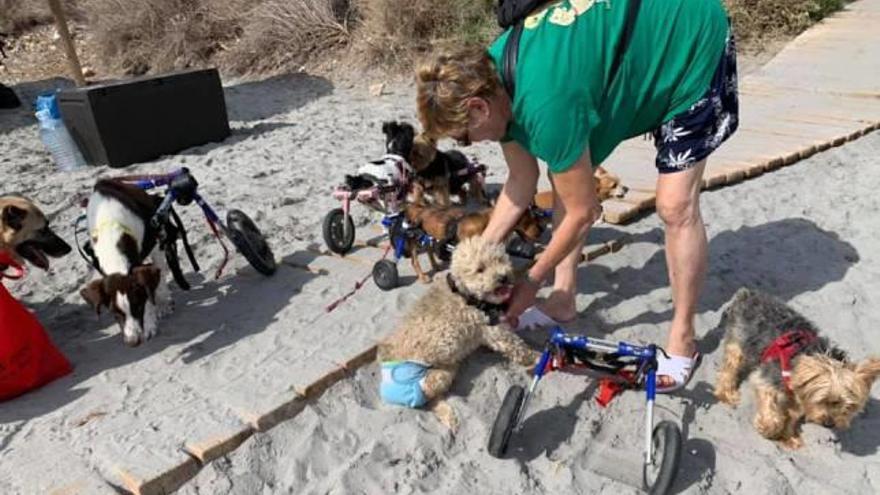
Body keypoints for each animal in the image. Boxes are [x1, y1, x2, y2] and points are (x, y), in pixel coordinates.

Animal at [376, 235, 540, 430]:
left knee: (431, 399)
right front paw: (539, 358)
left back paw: (448, 414)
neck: (467, 295)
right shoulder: (493, 331)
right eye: (480, 269)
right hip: (426, 377)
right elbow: (518, 347)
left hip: (447, 371)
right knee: (426, 394)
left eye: (500, 259)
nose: (503, 277)